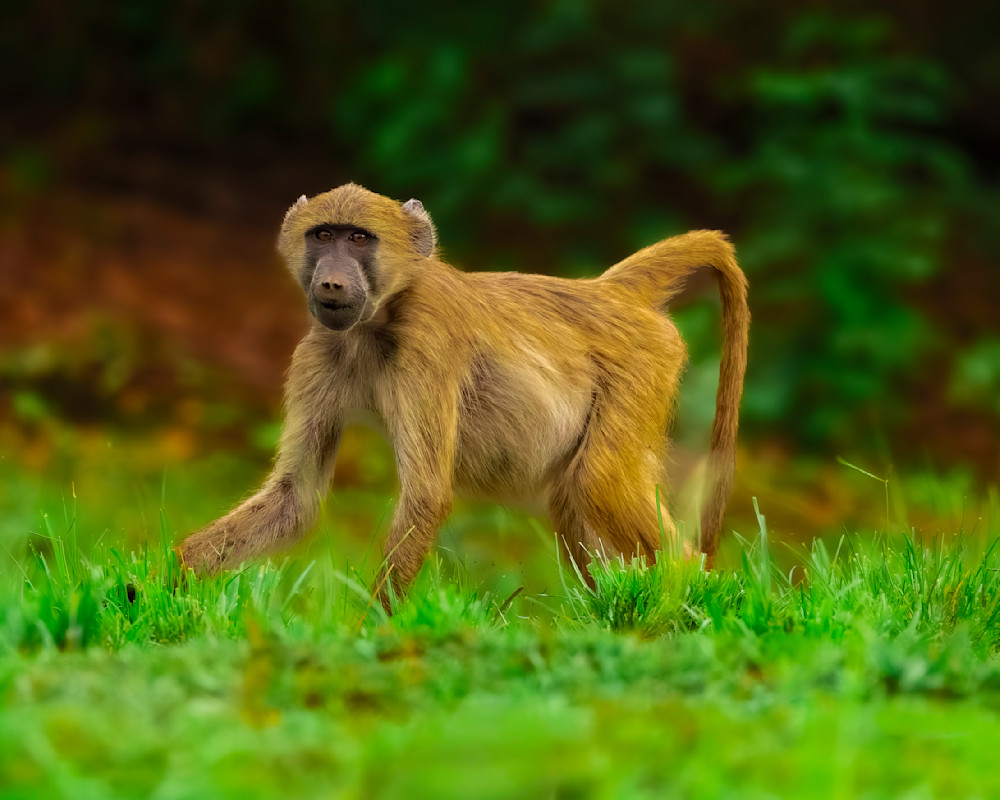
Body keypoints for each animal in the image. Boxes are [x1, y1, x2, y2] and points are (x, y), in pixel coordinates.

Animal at [177, 183, 749, 608]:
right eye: (323, 235)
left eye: (359, 238)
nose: (332, 284)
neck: (378, 322)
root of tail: (607, 292)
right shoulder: (319, 354)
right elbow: (294, 497)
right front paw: (170, 585)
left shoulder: (428, 344)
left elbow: (426, 494)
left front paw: (368, 636)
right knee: (575, 498)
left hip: (642, 366)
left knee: (599, 481)